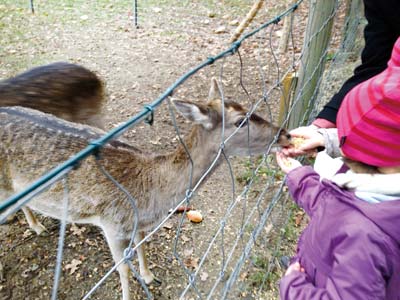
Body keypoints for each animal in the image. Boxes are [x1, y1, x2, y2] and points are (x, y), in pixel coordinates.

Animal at [0, 78, 290, 298]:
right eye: (241, 120)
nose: (285, 134)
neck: (150, 198)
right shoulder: (111, 224)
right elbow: (123, 269)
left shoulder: (135, 224)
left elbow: (142, 246)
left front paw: (150, 277)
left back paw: (36, 225)